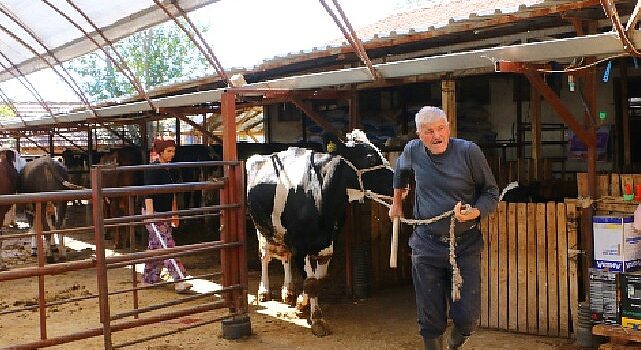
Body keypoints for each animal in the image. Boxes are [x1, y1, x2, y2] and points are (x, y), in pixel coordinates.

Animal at [246, 129, 392, 336]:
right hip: (261, 227)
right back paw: (264, 291)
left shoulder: (328, 243)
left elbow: (318, 279)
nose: (402, 183)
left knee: (285, 256)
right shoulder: (300, 244)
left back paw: (288, 291)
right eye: (370, 158)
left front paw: (302, 303)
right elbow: (310, 281)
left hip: (283, 233)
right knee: (265, 255)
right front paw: (316, 319)